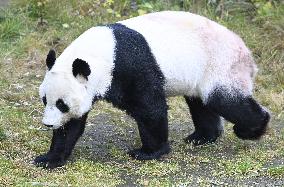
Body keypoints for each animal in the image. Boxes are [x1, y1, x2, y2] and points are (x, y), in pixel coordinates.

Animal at [34, 11, 270, 169]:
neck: (102, 50)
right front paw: (49, 158)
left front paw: (149, 152)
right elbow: (72, 125)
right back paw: (202, 137)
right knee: (200, 103)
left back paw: (252, 128)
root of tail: (247, 53)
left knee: (226, 100)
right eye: (45, 100)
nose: (48, 124)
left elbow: (149, 108)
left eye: (62, 104)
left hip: (220, 65)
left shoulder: (129, 65)